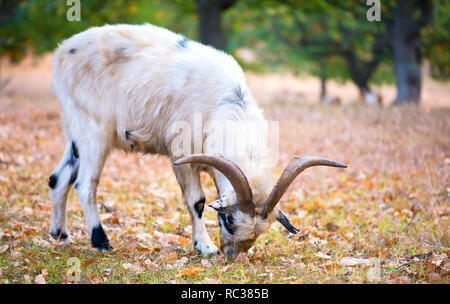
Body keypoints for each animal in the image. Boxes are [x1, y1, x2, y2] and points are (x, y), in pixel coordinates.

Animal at [49, 23, 346, 256]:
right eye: (228, 221)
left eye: (260, 231)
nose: (232, 255)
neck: (225, 102)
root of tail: (62, 52)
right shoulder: (183, 156)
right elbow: (198, 201)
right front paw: (205, 247)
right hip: (93, 132)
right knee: (85, 184)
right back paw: (101, 241)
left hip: (74, 135)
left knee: (58, 178)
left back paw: (61, 235)